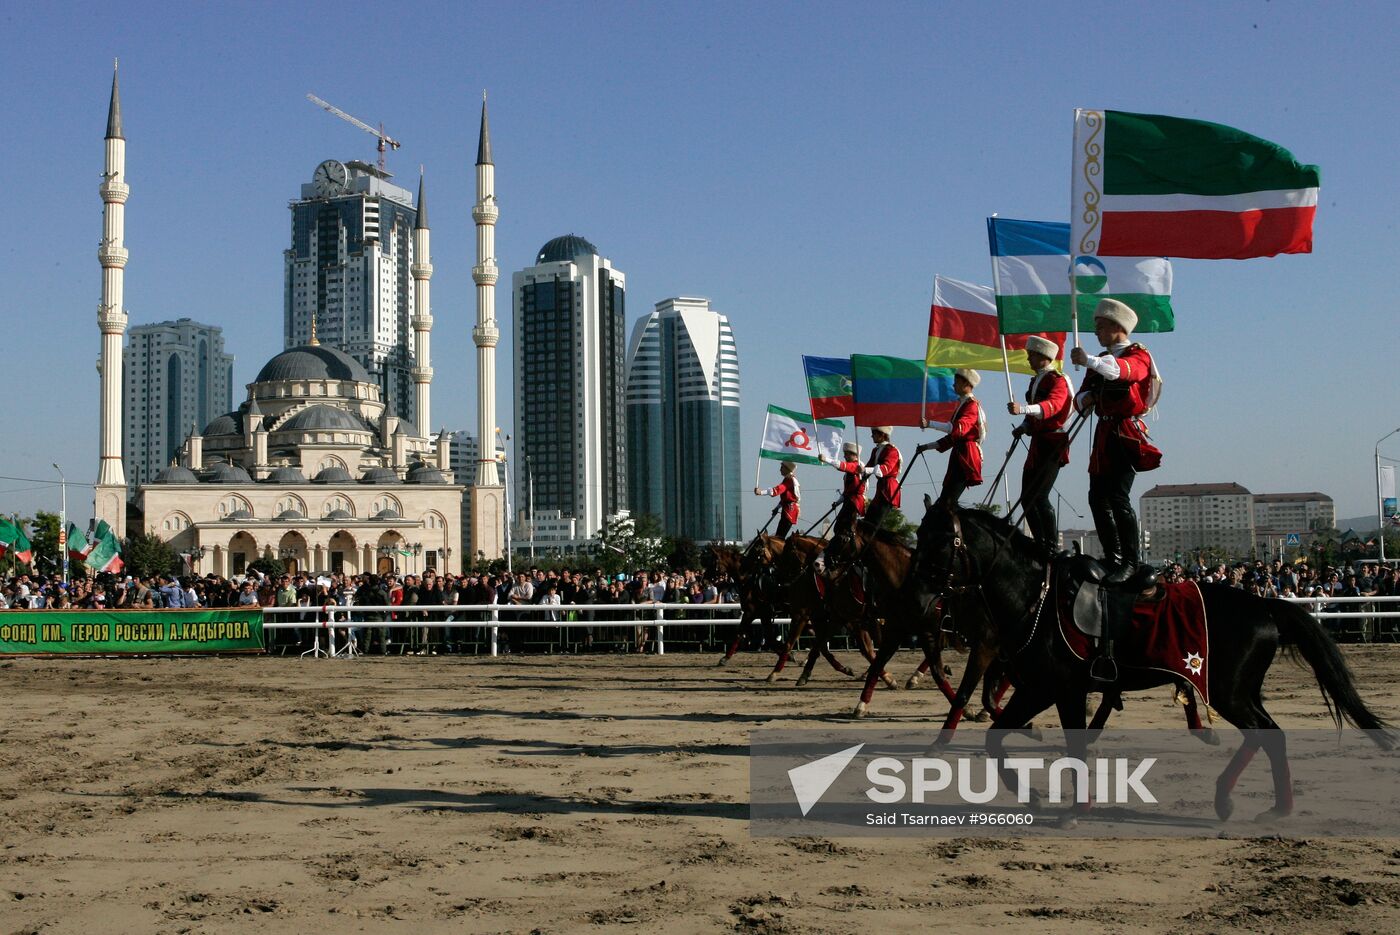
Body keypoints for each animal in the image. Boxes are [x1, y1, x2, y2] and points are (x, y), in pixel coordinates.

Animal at [901, 506, 1394, 823]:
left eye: (939, 541)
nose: (915, 598)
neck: (1037, 598)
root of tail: (1265, 605)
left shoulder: (1060, 688)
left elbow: (1068, 745)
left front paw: (1071, 808)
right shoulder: (1039, 688)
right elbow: (996, 738)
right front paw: (1039, 798)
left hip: (1229, 692)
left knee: (1263, 734)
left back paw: (1234, 800)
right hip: (1241, 690)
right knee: (1270, 736)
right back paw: (1272, 806)